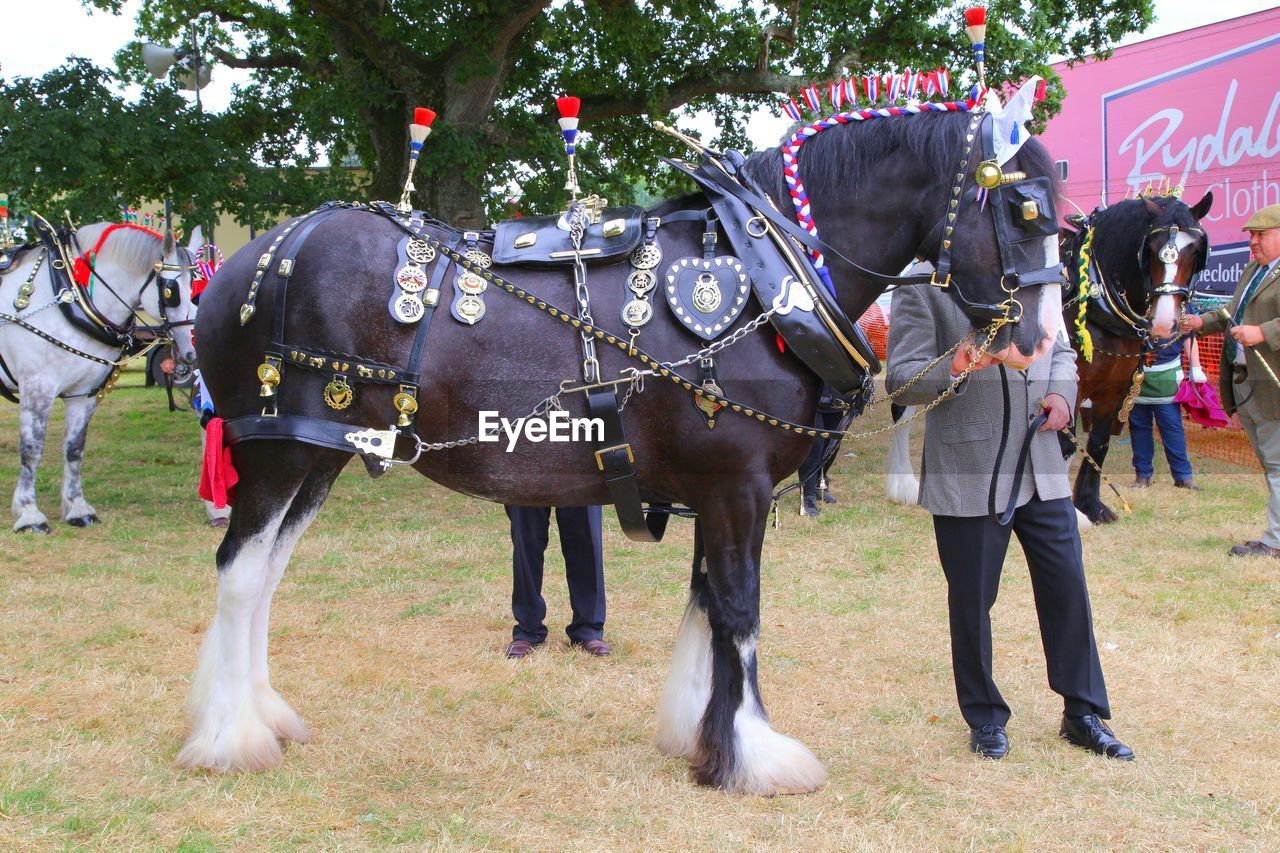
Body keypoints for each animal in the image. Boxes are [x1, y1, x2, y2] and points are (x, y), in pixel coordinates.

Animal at [1059, 192, 1208, 522]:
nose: (1163, 322)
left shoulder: (1114, 389)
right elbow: (1065, 444)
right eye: (1150, 250)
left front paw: (1090, 505)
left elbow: (1099, 443)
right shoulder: (1070, 386)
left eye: (1194, 250)